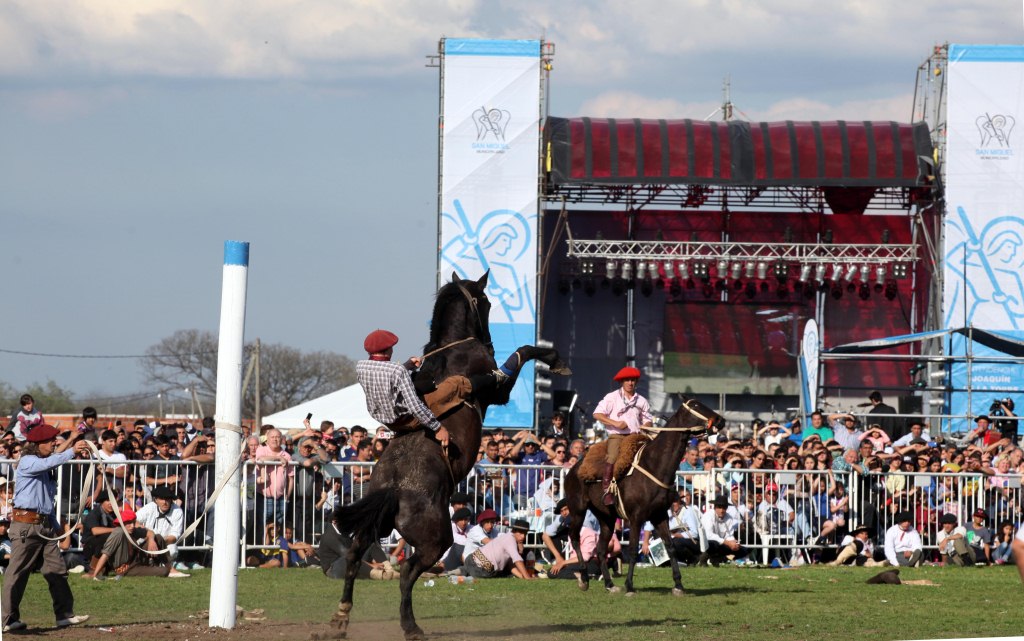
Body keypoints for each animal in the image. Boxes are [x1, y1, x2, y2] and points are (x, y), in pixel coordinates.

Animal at [327, 272, 569, 634]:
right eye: (487, 302)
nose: (489, 341)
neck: (452, 353)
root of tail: (392, 490)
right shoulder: (498, 390)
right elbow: (522, 353)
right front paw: (556, 361)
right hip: (435, 540)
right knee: (408, 571)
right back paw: (410, 626)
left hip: (373, 527)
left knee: (355, 556)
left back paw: (341, 618)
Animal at [565, 399, 724, 593]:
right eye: (695, 406)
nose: (720, 420)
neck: (654, 465)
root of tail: (574, 469)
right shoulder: (636, 517)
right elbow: (634, 549)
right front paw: (629, 585)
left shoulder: (659, 515)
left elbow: (670, 547)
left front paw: (678, 585)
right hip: (577, 510)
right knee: (574, 537)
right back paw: (584, 578)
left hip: (606, 517)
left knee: (601, 549)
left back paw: (610, 584)